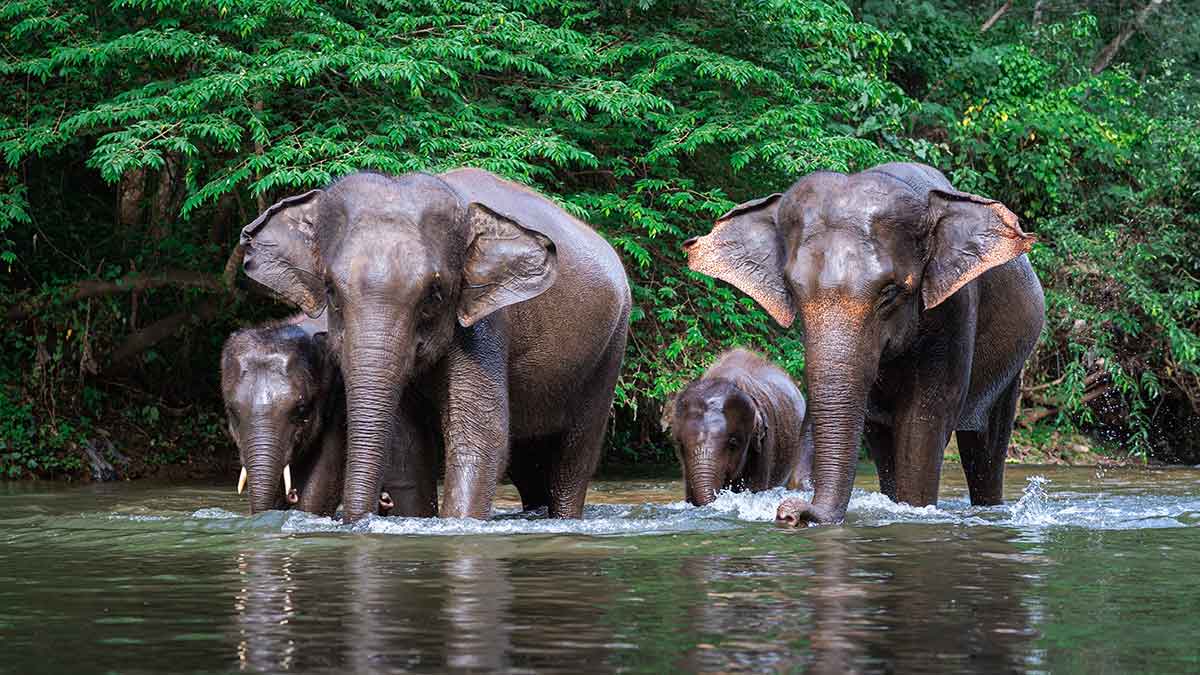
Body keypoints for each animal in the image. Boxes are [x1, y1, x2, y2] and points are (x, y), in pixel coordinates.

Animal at [234, 166, 628, 521]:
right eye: (330, 290)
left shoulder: (484, 324)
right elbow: (408, 452)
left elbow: (481, 438)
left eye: (434, 296)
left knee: (573, 460)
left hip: (609, 352)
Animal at [686, 163, 1041, 526]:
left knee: (986, 447)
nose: (789, 513)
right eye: (793, 290)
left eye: (891, 292)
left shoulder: (954, 309)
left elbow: (925, 418)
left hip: (1011, 368)